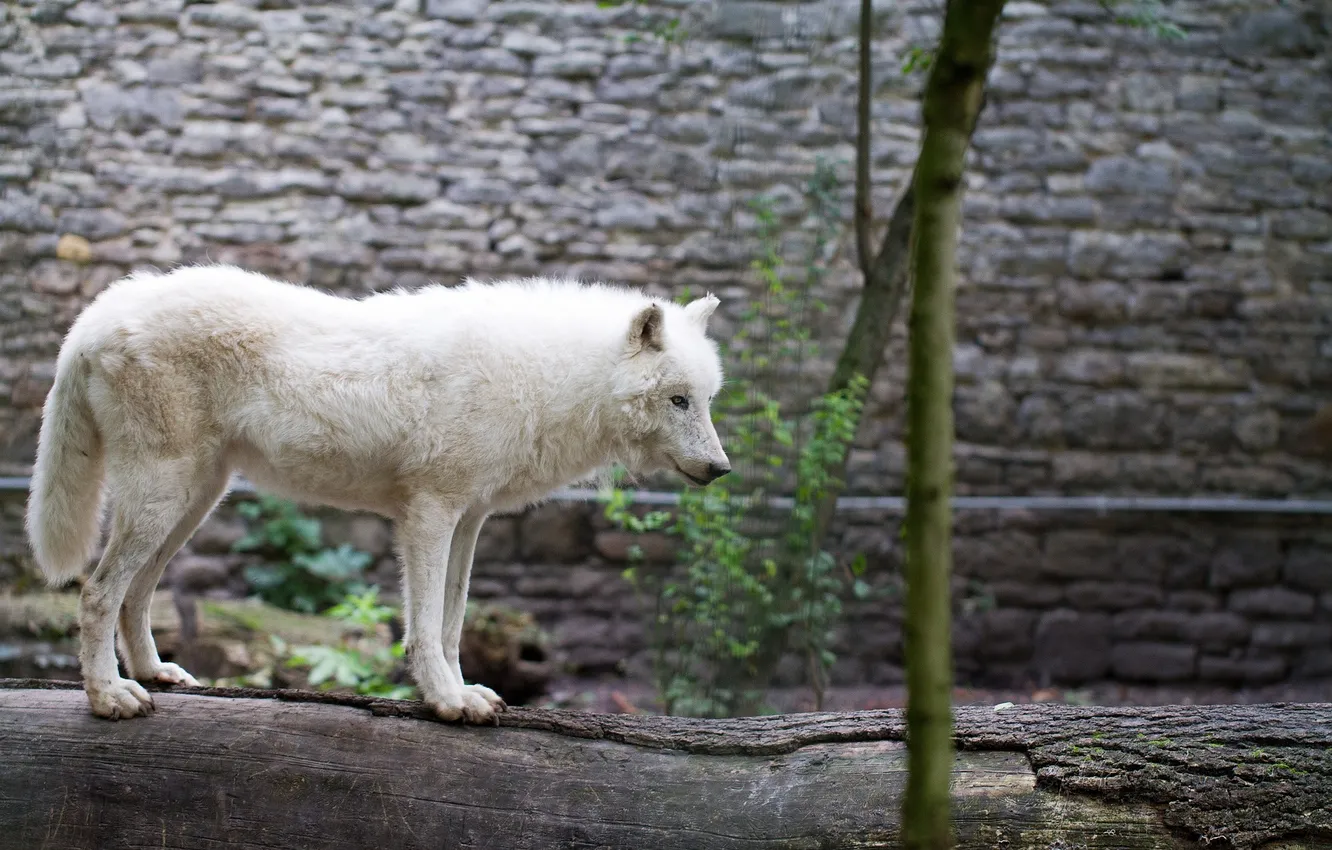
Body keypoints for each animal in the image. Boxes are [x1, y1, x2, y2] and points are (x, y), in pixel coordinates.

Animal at [25, 265, 730, 724]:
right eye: (678, 400)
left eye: (706, 399)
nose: (722, 469)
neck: (545, 377)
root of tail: (94, 316)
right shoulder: (430, 515)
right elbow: (423, 628)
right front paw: (446, 702)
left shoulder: (469, 520)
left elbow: (452, 624)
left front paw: (465, 692)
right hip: (165, 498)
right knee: (97, 591)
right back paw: (109, 698)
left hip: (195, 500)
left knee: (136, 593)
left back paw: (154, 674)